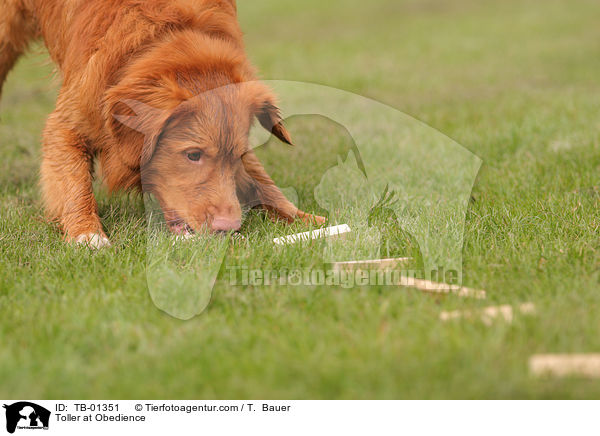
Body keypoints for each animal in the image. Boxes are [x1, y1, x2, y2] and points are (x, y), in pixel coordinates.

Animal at [0, 0, 324, 245]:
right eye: (192, 155)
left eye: (238, 156)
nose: (228, 227)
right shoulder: (69, 120)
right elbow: (74, 183)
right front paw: (87, 234)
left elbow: (260, 179)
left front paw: (305, 220)